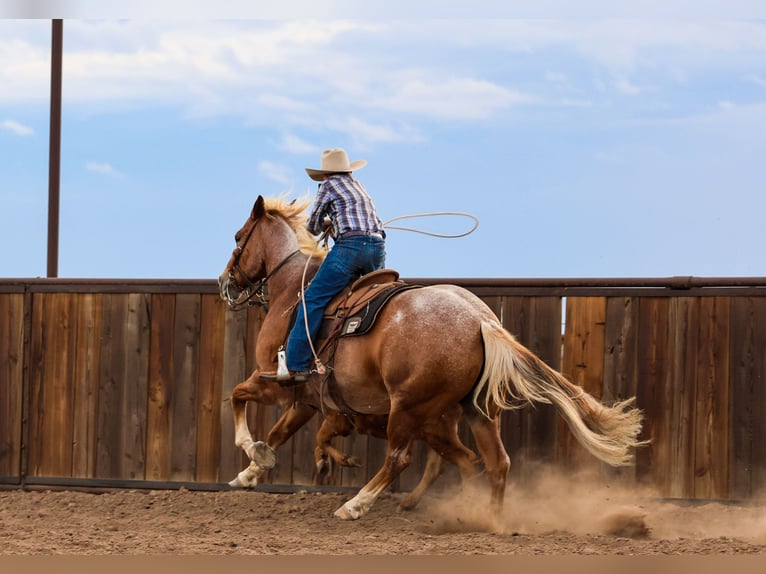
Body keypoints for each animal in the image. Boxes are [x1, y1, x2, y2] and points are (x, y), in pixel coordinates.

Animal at [218, 195, 647, 520]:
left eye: (239, 236)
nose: (226, 283)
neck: (293, 289)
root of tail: (480, 320)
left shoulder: (273, 382)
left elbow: (237, 395)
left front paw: (249, 449)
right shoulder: (306, 400)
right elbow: (280, 433)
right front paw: (252, 471)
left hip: (411, 409)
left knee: (403, 458)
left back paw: (356, 505)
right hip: (477, 411)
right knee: (494, 462)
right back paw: (486, 519)